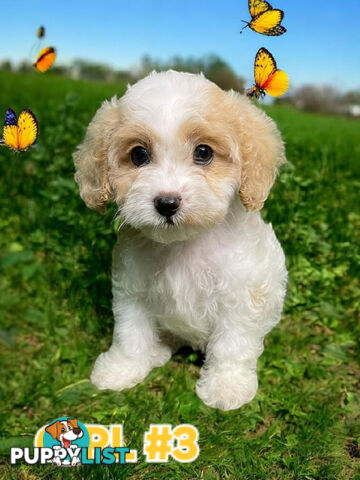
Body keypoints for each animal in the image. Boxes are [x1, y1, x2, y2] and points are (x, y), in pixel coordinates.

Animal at [73, 69, 286, 410]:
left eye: (204, 152)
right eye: (139, 155)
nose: (167, 203)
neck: (184, 242)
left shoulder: (240, 296)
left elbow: (232, 344)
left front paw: (227, 385)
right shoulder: (133, 291)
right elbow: (129, 334)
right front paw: (122, 368)